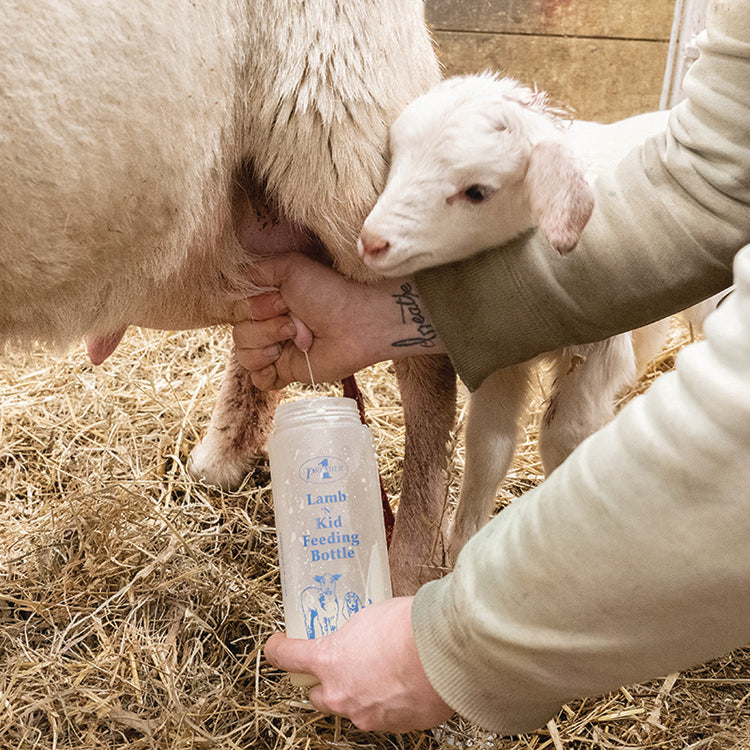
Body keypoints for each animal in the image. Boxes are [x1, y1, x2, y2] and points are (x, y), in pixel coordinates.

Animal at [358, 73, 724, 560]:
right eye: (394, 159)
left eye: (477, 192)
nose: (372, 242)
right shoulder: (497, 357)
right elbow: (489, 445)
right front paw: (463, 545)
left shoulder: (593, 356)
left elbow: (564, 438)